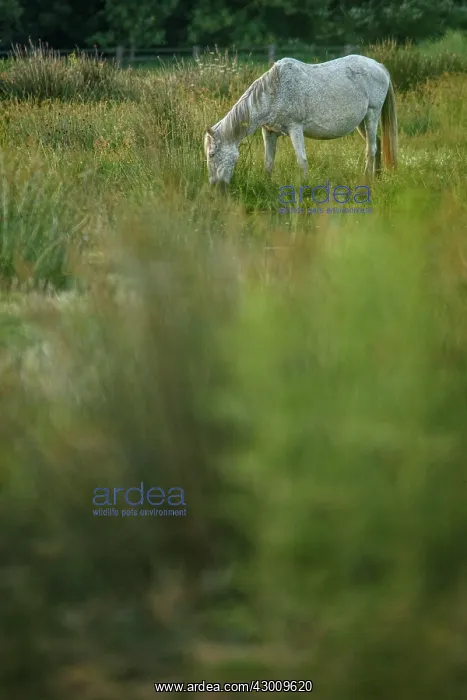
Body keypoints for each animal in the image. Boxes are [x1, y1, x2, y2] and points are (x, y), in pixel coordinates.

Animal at [203, 54, 398, 186]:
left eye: (212, 154)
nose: (215, 186)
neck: (274, 92)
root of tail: (379, 66)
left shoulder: (295, 128)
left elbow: (302, 161)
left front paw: (305, 188)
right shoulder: (269, 132)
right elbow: (268, 163)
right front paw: (267, 185)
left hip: (372, 114)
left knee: (371, 149)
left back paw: (367, 180)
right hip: (361, 122)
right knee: (377, 144)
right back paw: (378, 177)